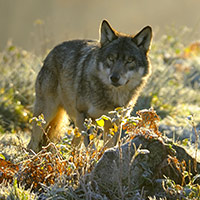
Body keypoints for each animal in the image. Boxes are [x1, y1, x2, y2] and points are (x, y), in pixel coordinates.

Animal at [28, 19, 152, 152]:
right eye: (111, 58)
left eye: (129, 60)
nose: (114, 77)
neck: (113, 98)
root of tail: (50, 53)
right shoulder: (85, 117)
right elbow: (91, 148)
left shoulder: (115, 123)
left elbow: (108, 147)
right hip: (45, 116)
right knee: (32, 143)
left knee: (73, 144)